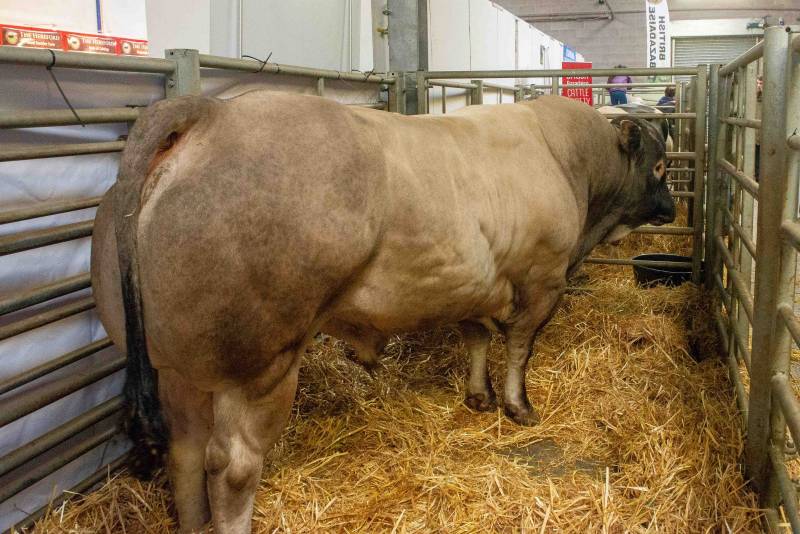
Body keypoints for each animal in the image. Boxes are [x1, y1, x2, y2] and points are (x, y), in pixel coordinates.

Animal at [90, 93, 675, 533]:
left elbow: (477, 337)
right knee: (232, 467)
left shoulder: (471, 283)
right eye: (661, 165)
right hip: (260, 366)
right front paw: (518, 406)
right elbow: (518, 347)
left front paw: (478, 396)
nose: (670, 209)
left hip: (178, 366)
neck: (562, 156)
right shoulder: (543, 278)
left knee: (185, 451)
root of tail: (213, 112)